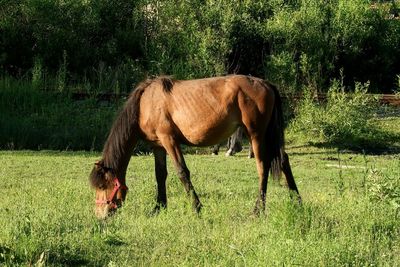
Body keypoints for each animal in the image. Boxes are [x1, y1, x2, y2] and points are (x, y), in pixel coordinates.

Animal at [88, 75, 300, 220]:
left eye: (103, 186)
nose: (100, 215)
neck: (145, 104)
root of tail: (267, 84)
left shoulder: (169, 140)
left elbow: (182, 172)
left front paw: (197, 208)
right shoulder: (158, 146)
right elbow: (160, 175)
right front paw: (159, 207)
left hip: (256, 135)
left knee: (263, 168)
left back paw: (258, 210)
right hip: (269, 137)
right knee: (283, 160)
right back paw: (296, 200)